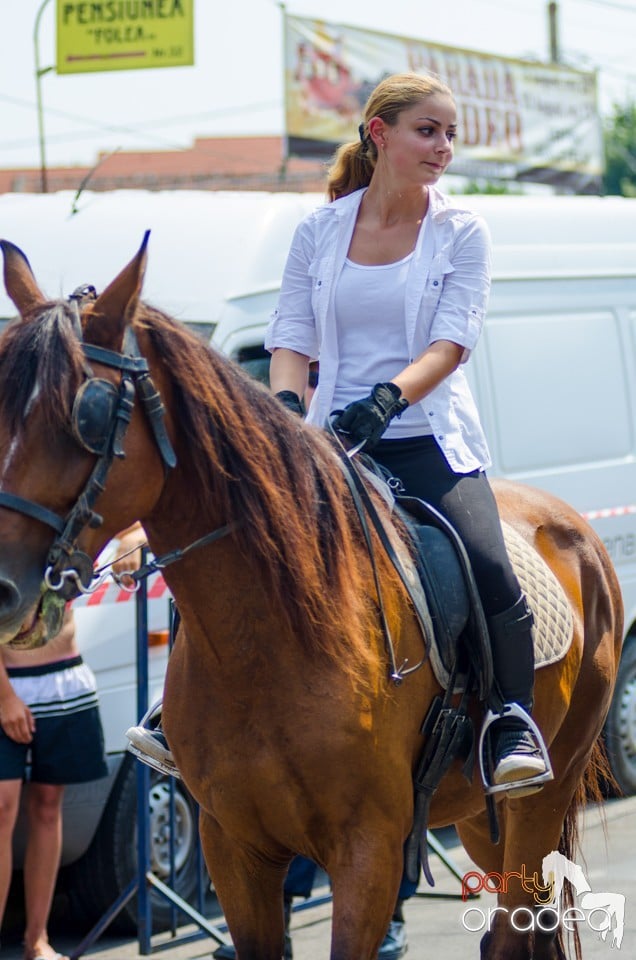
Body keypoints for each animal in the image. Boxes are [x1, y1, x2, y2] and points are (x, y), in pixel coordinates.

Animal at [0, 234, 620, 960]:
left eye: (91, 415)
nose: (5, 589)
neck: (269, 642)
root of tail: (576, 528)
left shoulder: (368, 852)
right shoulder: (233, 847)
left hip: (541, 798)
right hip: (478, 815)